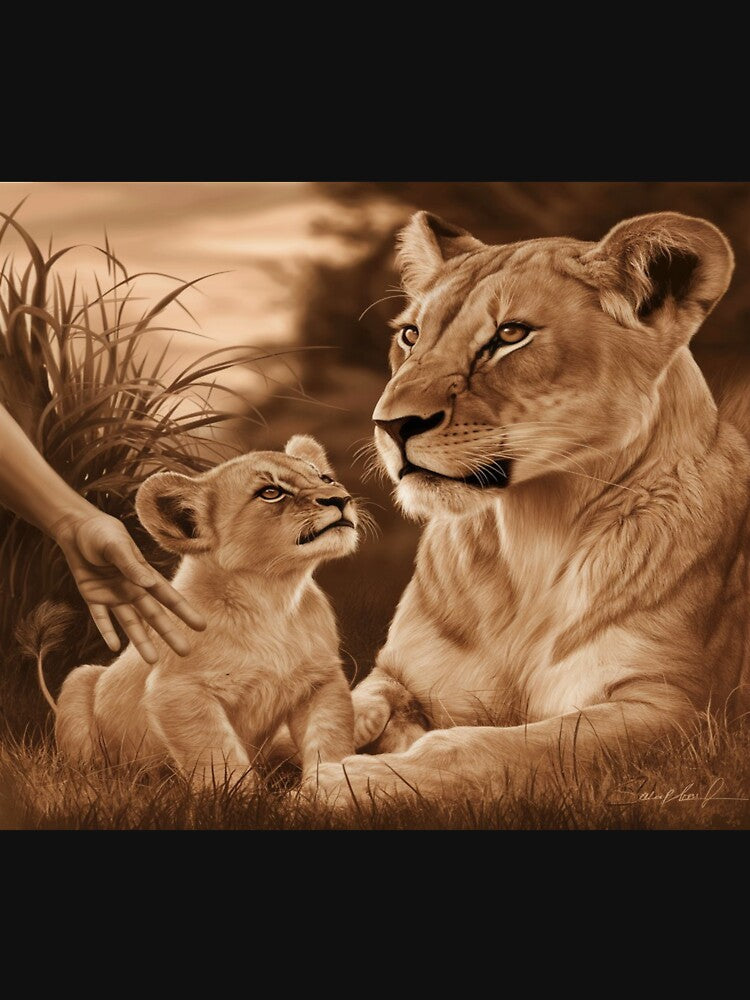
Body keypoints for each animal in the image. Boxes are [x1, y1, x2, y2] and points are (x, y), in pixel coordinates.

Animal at [55, 436, 359, 787]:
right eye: (270, 492)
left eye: (324, 478)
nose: (340, 497)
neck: (273, 598)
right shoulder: (178, 691)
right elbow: (217, 754)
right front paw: (241, 797)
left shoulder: (320, 682)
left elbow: (328, 737)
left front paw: (332, 786)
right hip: (78, 681)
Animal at [312, 209, 750, 804]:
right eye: (410, 335)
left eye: (510, 335)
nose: (391, 424)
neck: (531, 533)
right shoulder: (399, 676)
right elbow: (345, 702)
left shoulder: (679, 714)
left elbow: (493, 748)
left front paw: (345, 782)